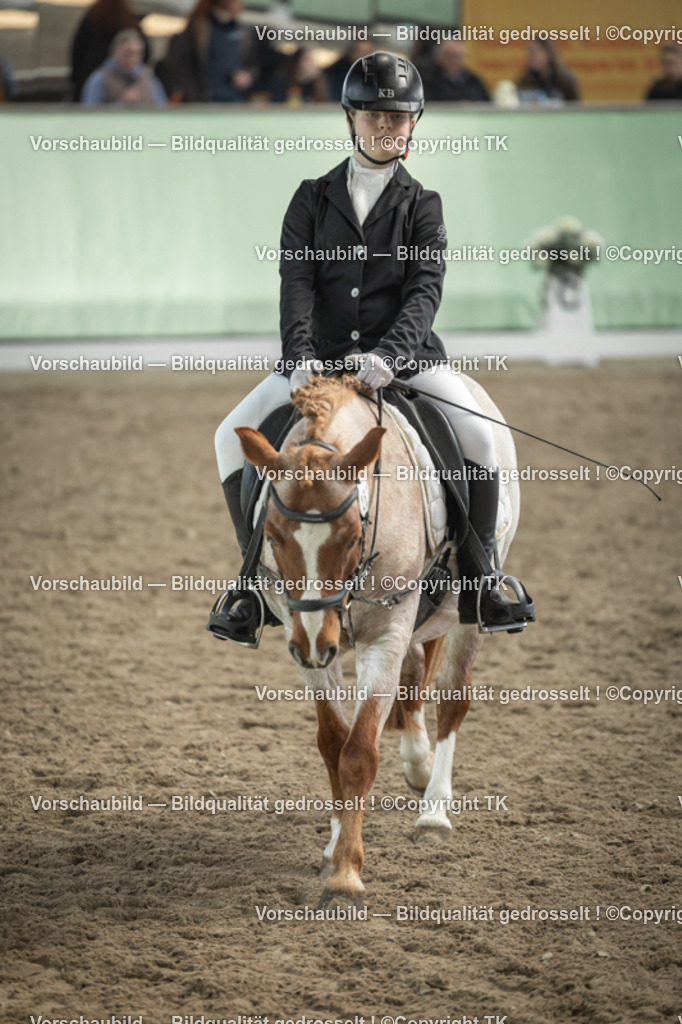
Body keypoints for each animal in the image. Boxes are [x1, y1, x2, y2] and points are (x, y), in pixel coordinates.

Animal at [235, 373, 522, 908]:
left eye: (351, 536)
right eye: (274, 535)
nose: (317, 642)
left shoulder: (384, 635)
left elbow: (360, 752)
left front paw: (345, 877)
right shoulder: (306, 643)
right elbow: (333, 743)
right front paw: (333, 849)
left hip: (466, 613)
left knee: (452, 698)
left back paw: (434, 813)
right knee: (413, 677)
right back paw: (418, 765)